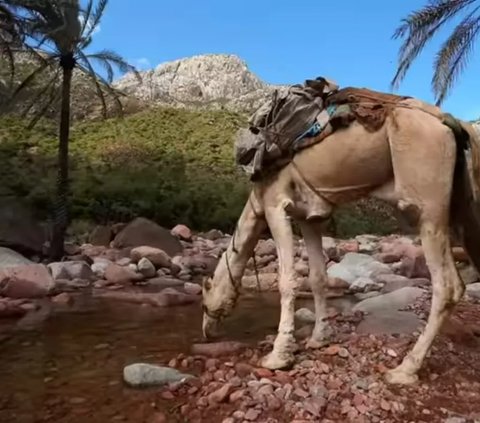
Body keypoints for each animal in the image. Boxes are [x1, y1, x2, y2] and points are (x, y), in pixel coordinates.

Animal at [200, 90, 480, 388]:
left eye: (205, 303)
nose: (207, 331)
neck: (257, 196)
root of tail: (452, 122)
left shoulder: (276, 205)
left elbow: (287, 281)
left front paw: (278, 356)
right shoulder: (309, 217)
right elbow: (318, 278)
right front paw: (317, 339)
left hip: (428, 202)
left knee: (447, 285)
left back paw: (405, 369)